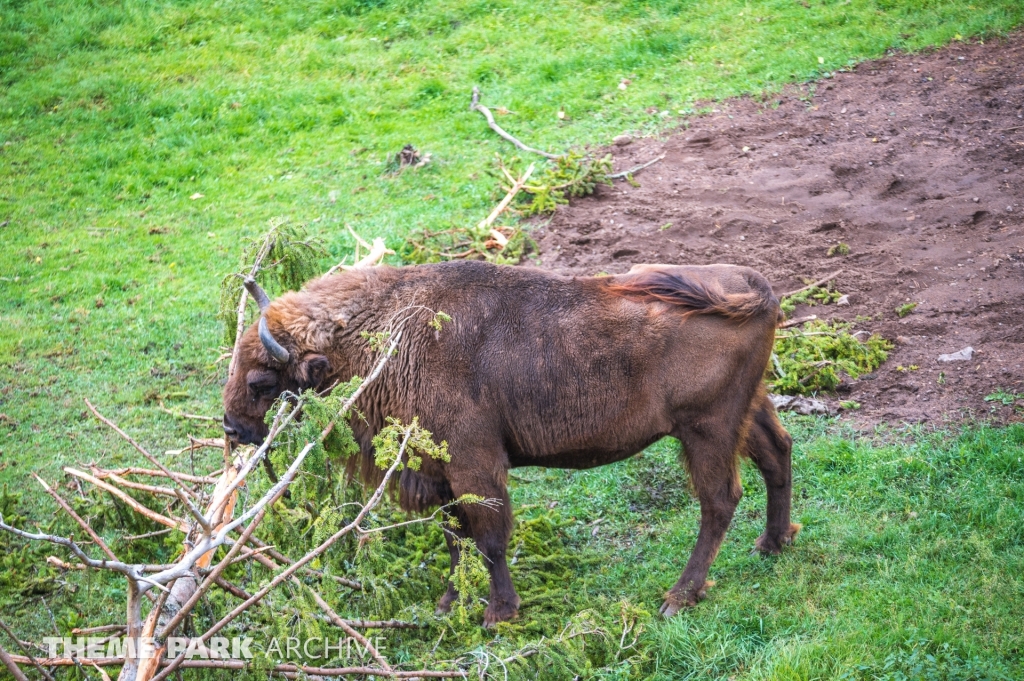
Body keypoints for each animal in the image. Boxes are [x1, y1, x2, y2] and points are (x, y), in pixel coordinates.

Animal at [224, 260, 798, 626]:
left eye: (261, 381)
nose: (232, 428)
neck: (388, 334)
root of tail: (758, 288)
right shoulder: (437, 474)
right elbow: (455, 539)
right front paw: (448, 605)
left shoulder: (474, 465)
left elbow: (489, 536)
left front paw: (498, 614)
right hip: (749, 411)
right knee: (778, 454)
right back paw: (773, 543)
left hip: (706, 431)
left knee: (719, 500)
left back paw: (679, 597)